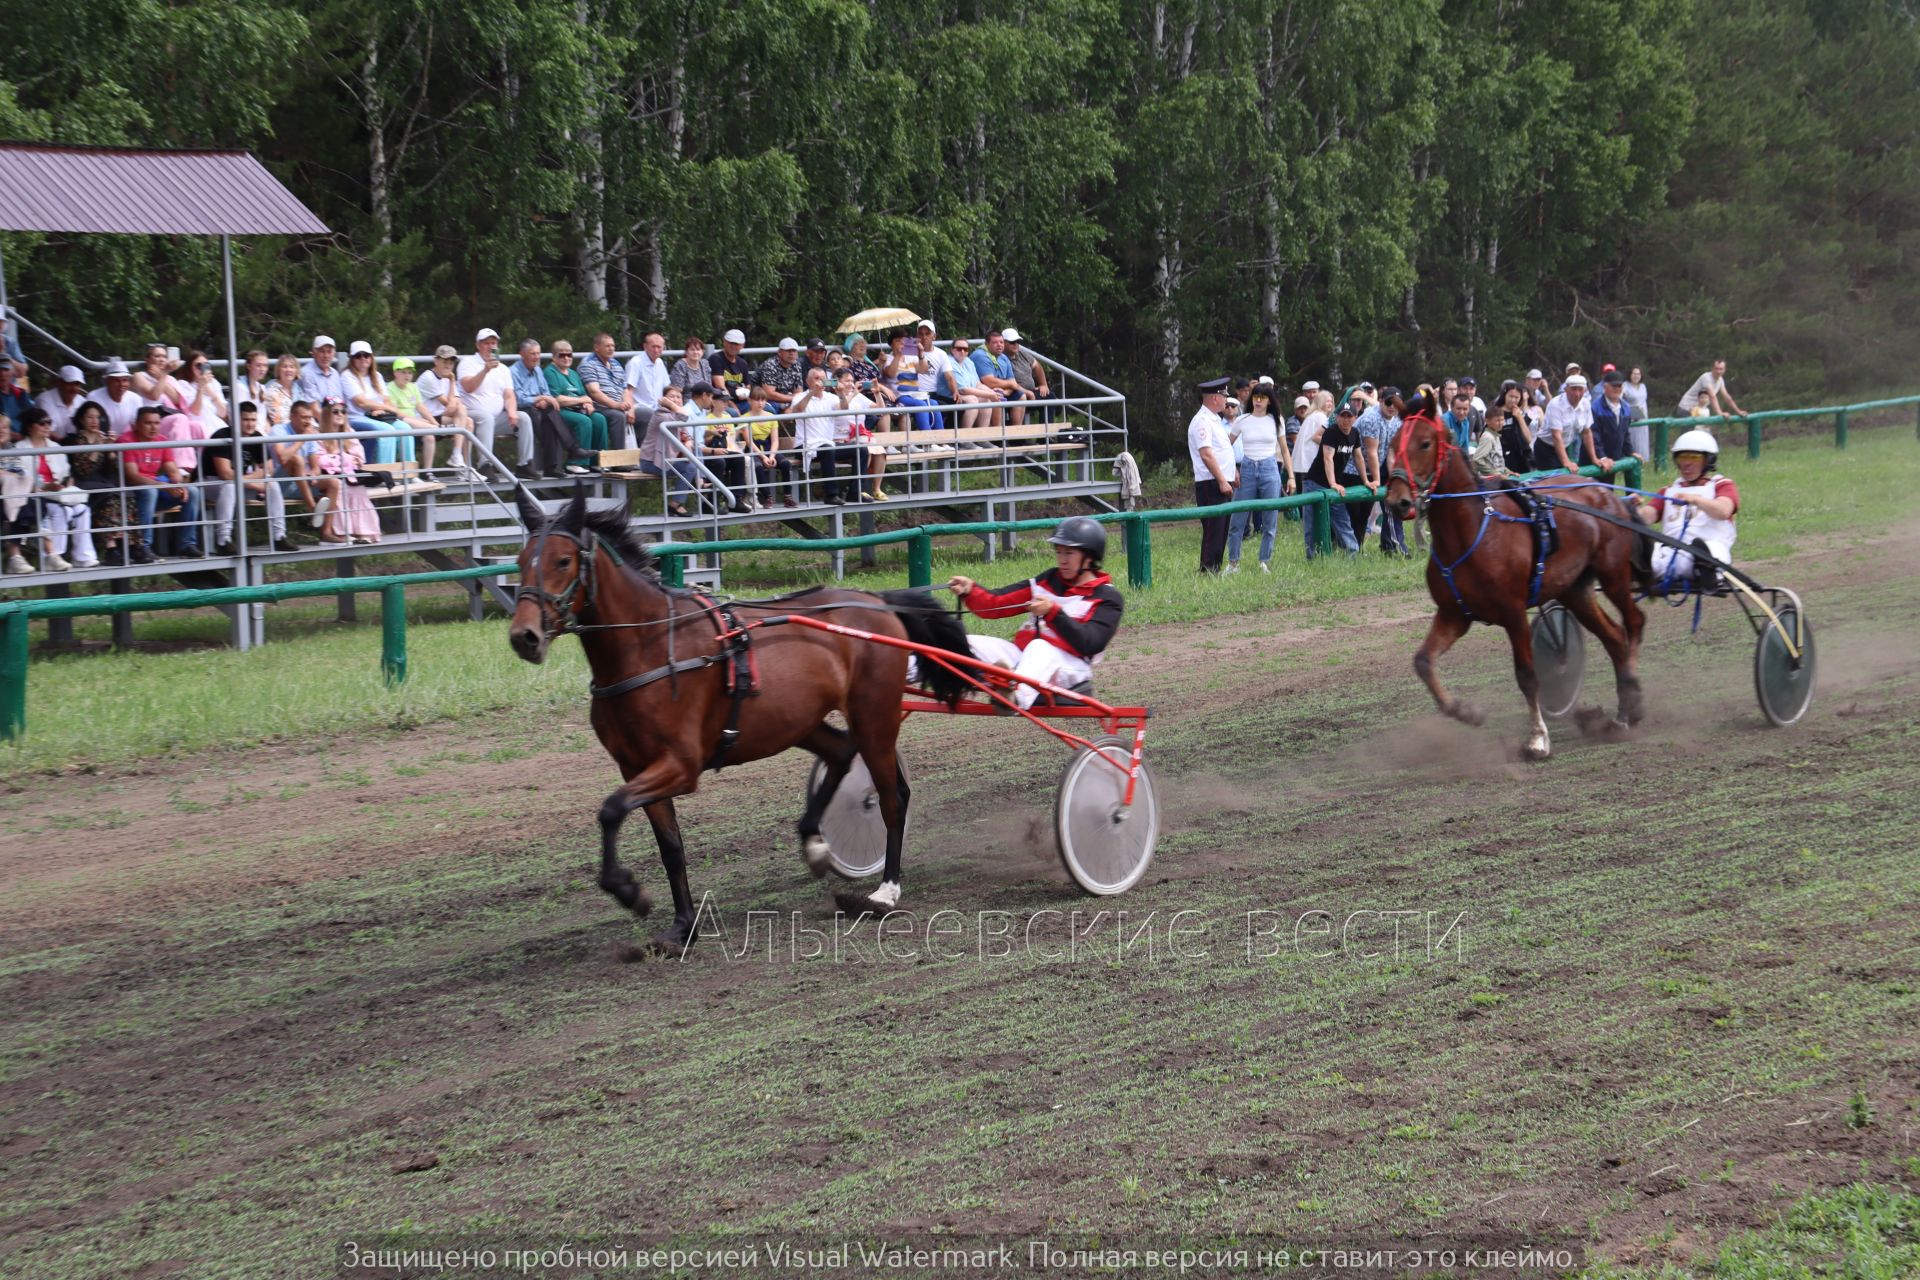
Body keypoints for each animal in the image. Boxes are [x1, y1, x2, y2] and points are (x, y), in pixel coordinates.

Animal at [506, 491, 975, 951]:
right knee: (842, 753)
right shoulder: (635, 765)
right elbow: (668, 846)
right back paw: (814, 841)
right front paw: (682, 926)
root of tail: (875, 600)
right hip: (798, 720)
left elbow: (610, 809)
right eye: (520, 559)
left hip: (873, 715)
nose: (524, 637)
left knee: (892, 797)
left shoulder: (681, 766)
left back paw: (886, 889)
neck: (650, 646)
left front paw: (627, 890)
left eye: (562, 561)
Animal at [1382, 404, 1651, 756]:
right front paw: (1466, 712)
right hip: (1575, 591)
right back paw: (1620, 715)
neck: (1471, 532)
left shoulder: (1513, 612)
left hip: (1614, 575)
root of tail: (1609, 495)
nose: (1396, 501)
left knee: (1634, 622)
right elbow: (1424, 662)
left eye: (1425, 443)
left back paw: (1632, 697)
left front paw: (1538, 738)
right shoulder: (1454, 614)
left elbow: (1527, 675)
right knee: (1615, 638)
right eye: (1392, 444)